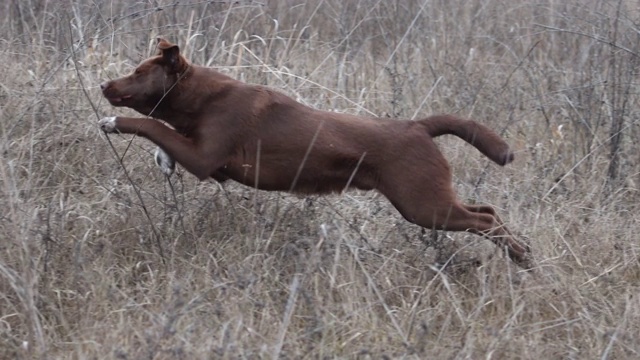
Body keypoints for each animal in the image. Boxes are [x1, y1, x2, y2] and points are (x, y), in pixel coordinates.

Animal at [100, 37, 528, 268]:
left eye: (138, 73)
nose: (104, 84)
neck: (204, 98)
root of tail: (418, 125)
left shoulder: (205, 160)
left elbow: (153, 126)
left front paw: (112, 122)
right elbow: (164, 134)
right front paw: (162, 160)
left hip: (423, 204)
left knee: (484, 220)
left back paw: (522, 257)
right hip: (428, 201)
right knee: (487, 211)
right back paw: (524, 256)